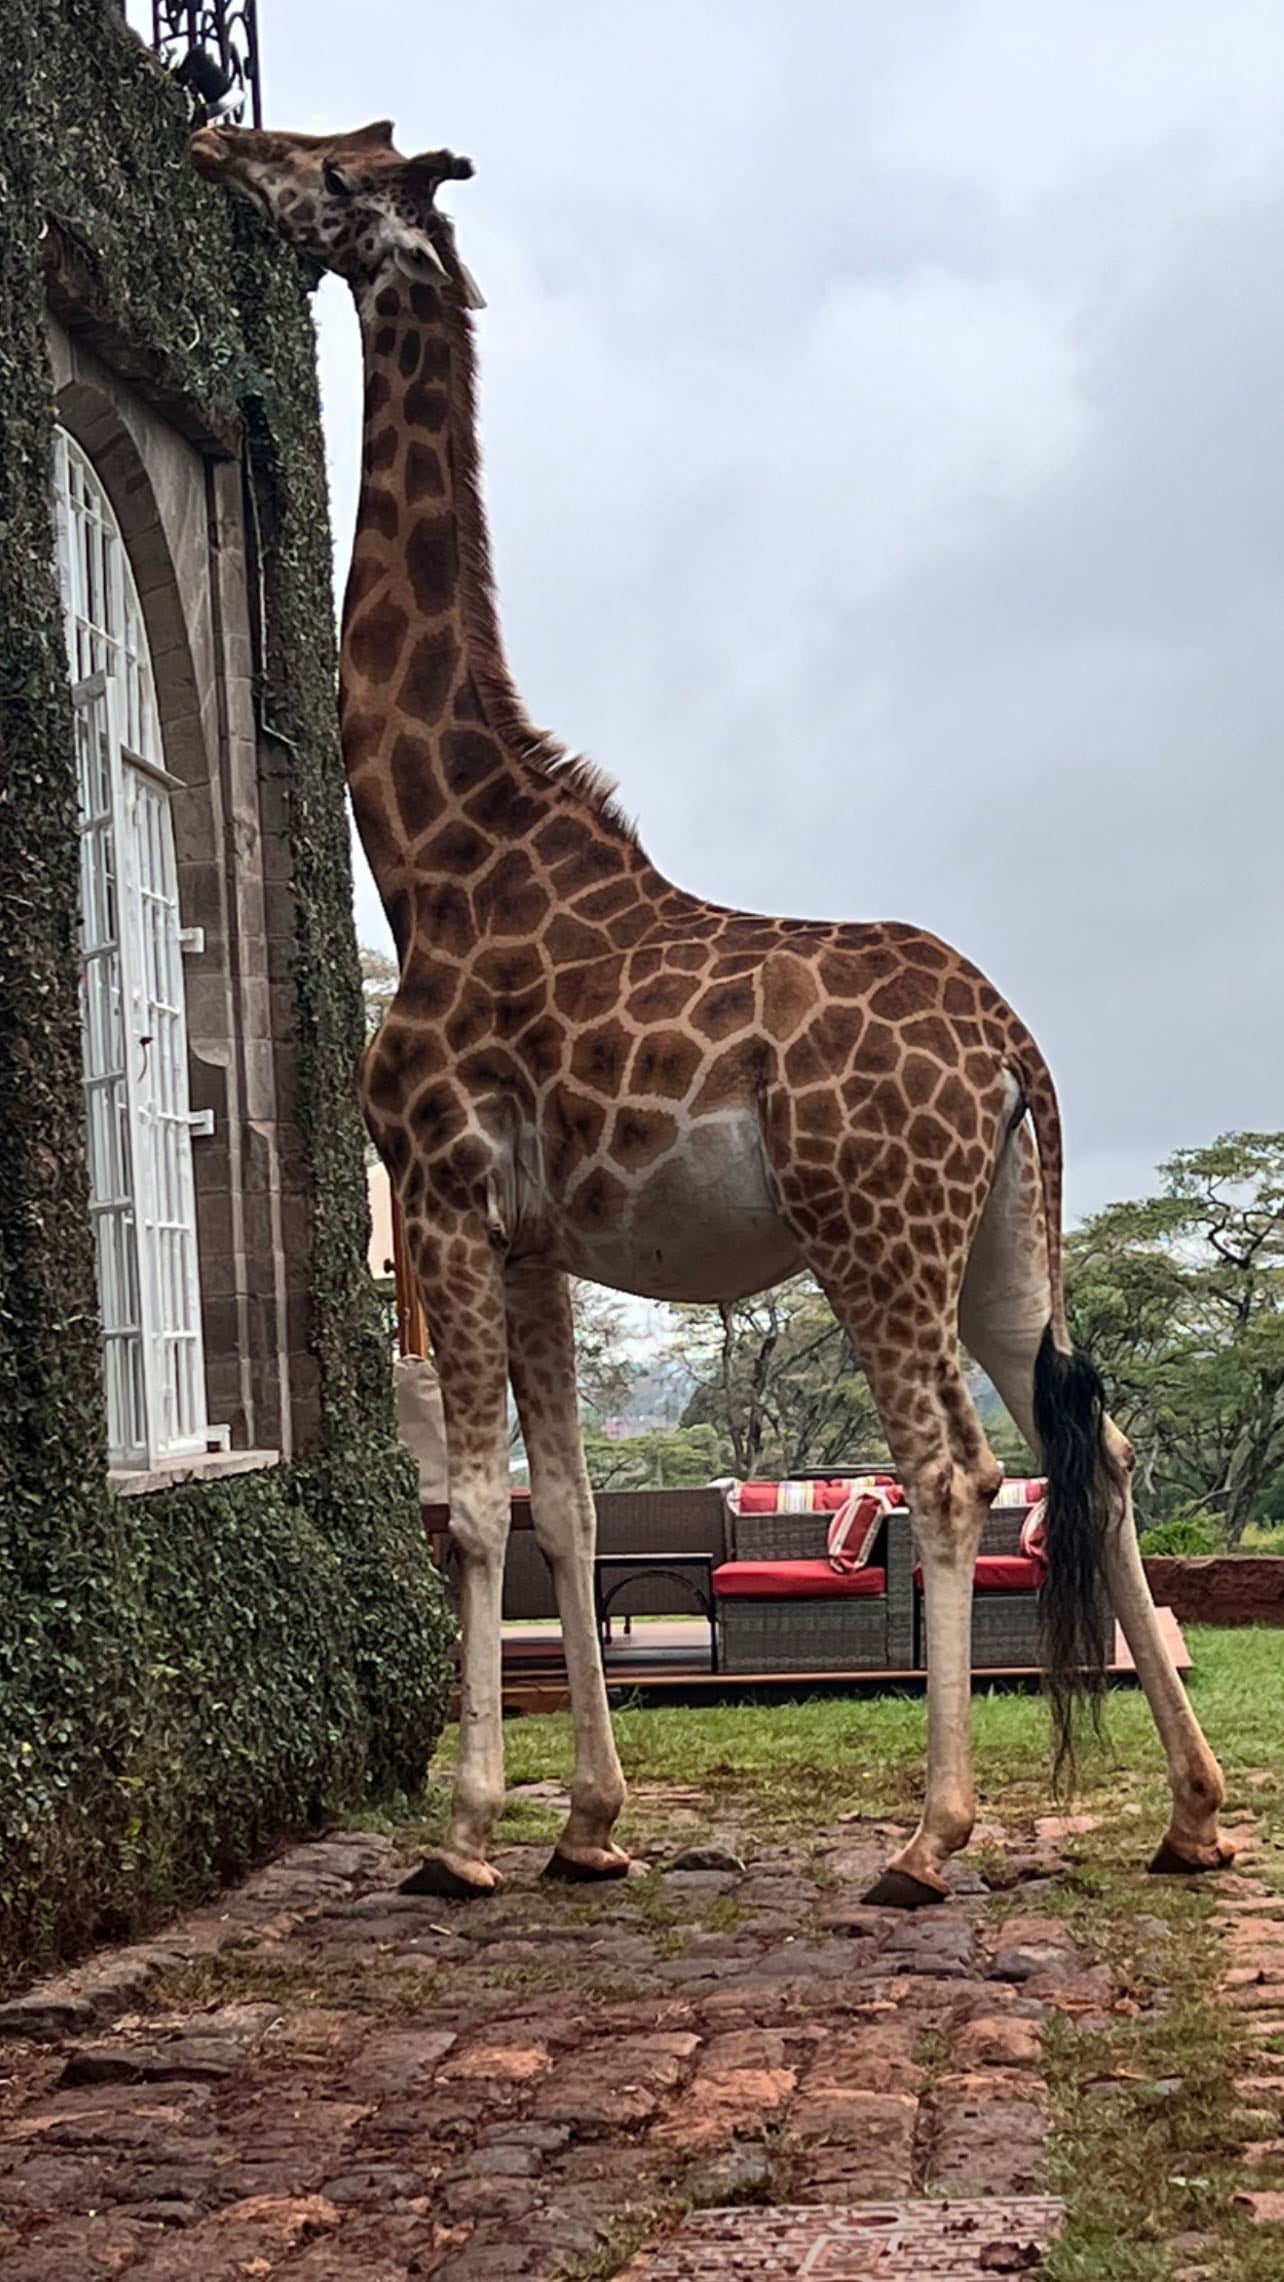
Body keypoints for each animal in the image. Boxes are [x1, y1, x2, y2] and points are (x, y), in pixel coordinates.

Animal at [190, 124, 1231, 1907]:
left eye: (325, 164)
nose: (210, 143)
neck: (432, 854)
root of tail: (1014, 1047)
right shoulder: (534, 1232)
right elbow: (568, 1511)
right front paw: (590, 1829)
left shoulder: (446, 1189)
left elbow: (475, 1511)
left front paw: (467, 1836)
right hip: (1005, 1244)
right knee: (1095, 1456)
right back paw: (1191, 1811)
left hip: (875, 1227)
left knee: (955, 1470)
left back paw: (931, 1837)